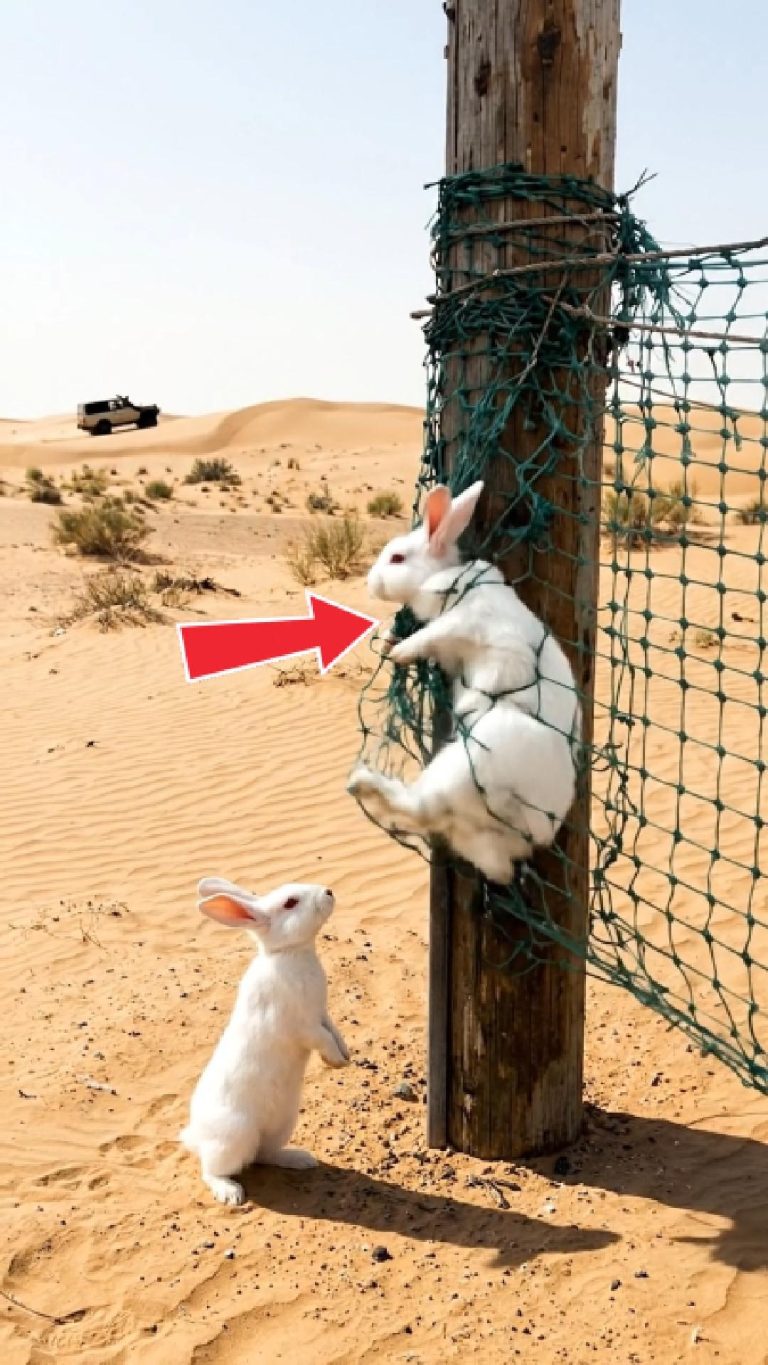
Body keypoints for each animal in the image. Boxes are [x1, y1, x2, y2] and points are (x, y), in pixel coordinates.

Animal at [179, 877, 349, 1206]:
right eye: (290, 903)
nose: (329, 892)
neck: (290, 954)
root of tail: (197, 1137)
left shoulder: (322, 1014)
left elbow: (334, 1031)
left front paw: (345, 1057)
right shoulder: (303, 1025)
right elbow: (323, 1038)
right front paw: (336, 1060)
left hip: (281, 1126)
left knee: (264, 1155)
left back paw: (301, 1160)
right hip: (234, 1139)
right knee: (213, 1170)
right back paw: (230, 1193)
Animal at [347, 481, 581, 884]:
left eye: (397, 558)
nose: (370, 583)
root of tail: (536, 831)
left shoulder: (463, 623)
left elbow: (428, 635)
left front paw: (399, 652)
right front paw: (392, 641)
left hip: (463, 766)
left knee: (419, 807)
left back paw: (364, 782)